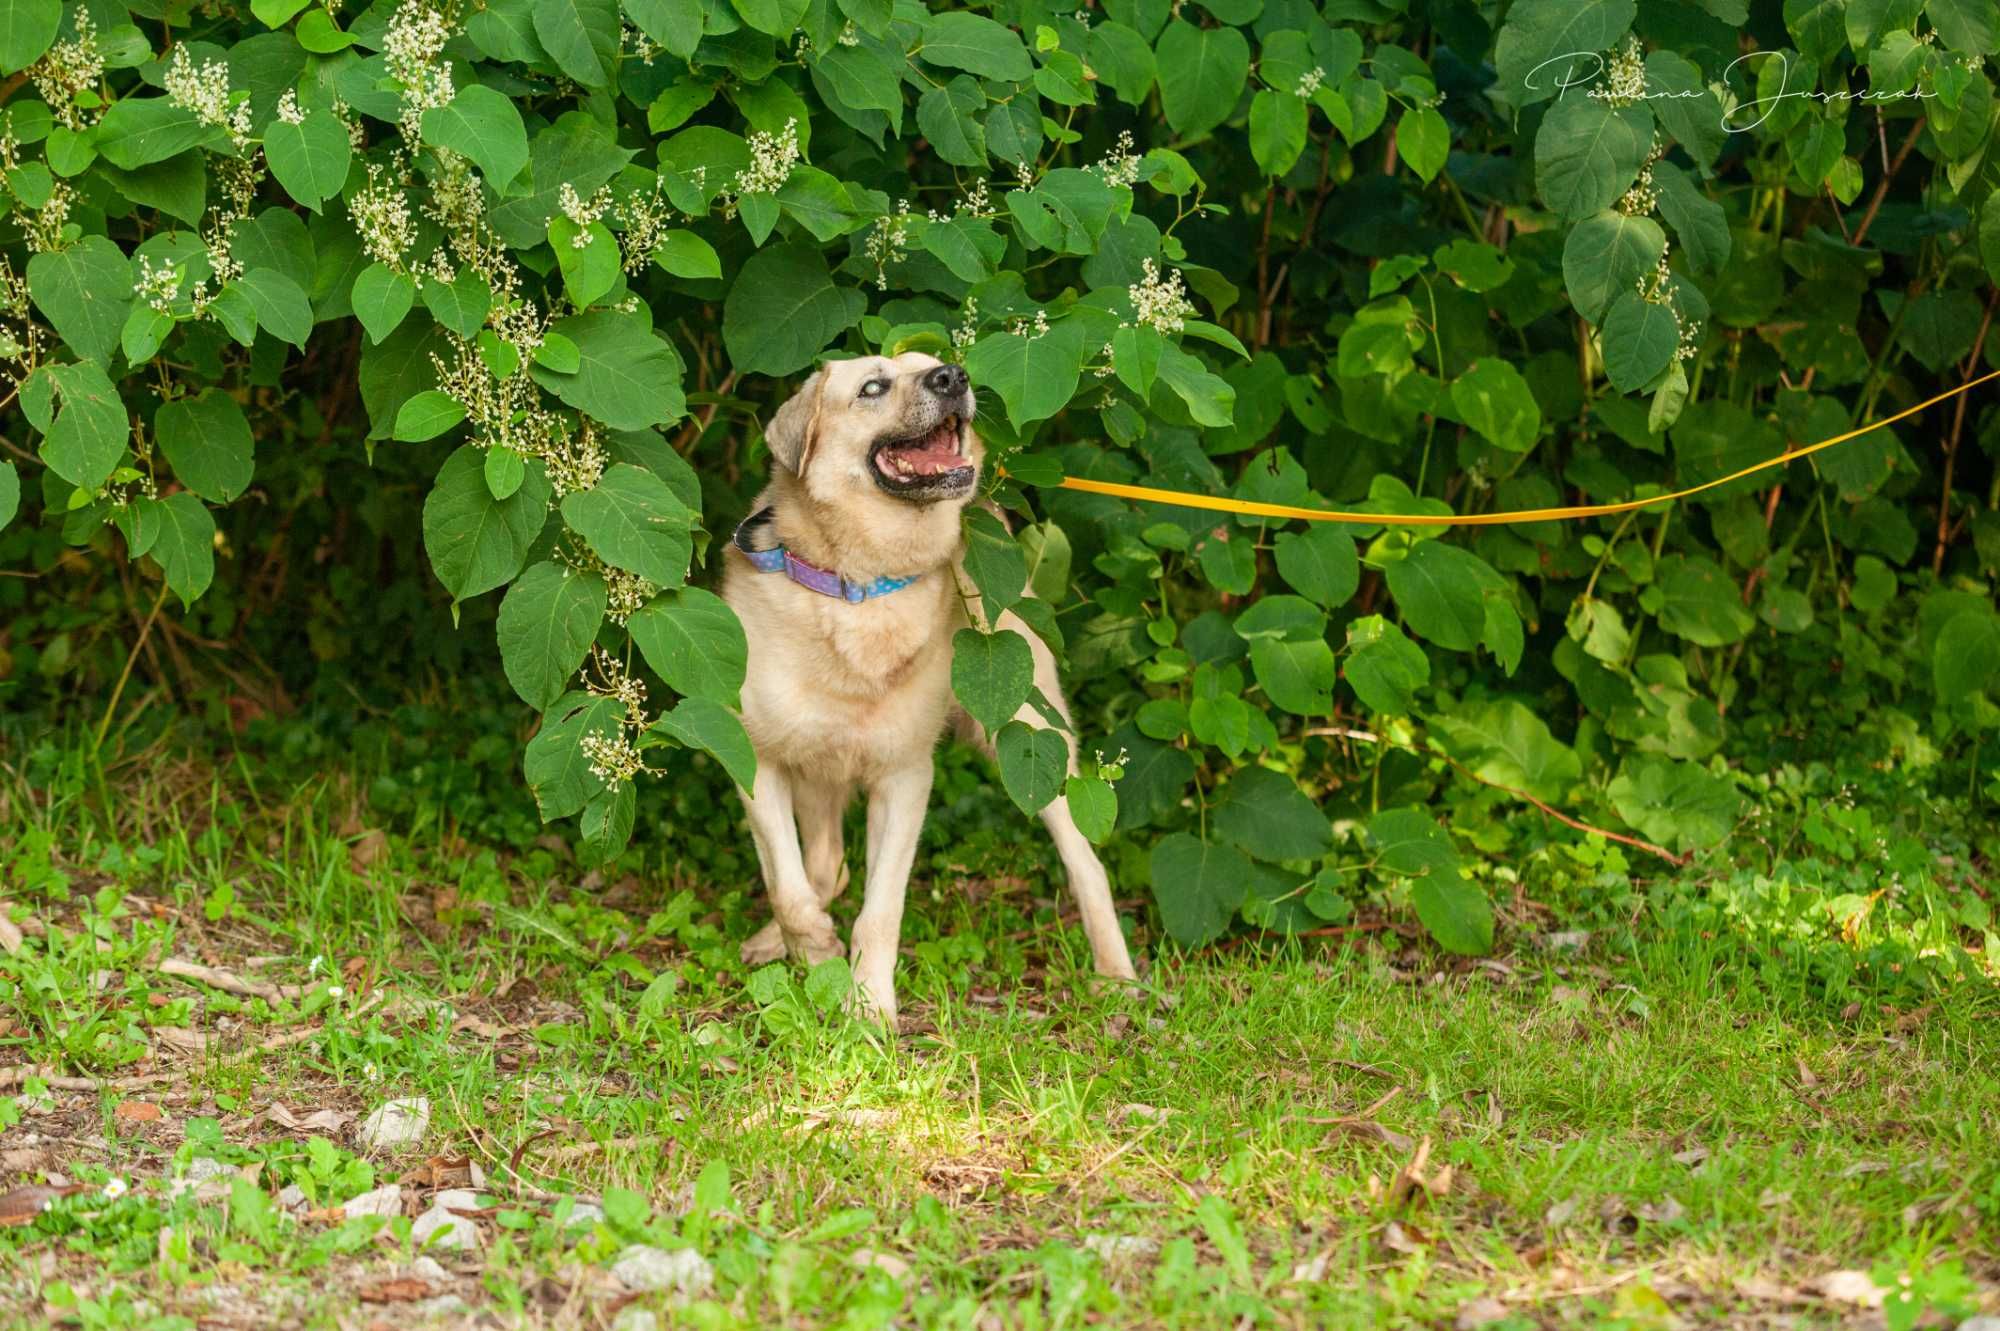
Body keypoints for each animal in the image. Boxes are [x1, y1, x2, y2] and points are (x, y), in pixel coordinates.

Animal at [720, 349, 1136, 1015]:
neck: (860, 590)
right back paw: (777, 942)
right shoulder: (756, 761)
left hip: (1035, 739)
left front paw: (868, 1007)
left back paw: (1116, 975)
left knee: (1087, 864)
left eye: (933, 365)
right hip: (817, 770)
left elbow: (880, 912)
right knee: (825, 865)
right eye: (872, 386)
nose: (955, 377)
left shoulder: (905, 779)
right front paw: (814, 950)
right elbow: (787, 886)